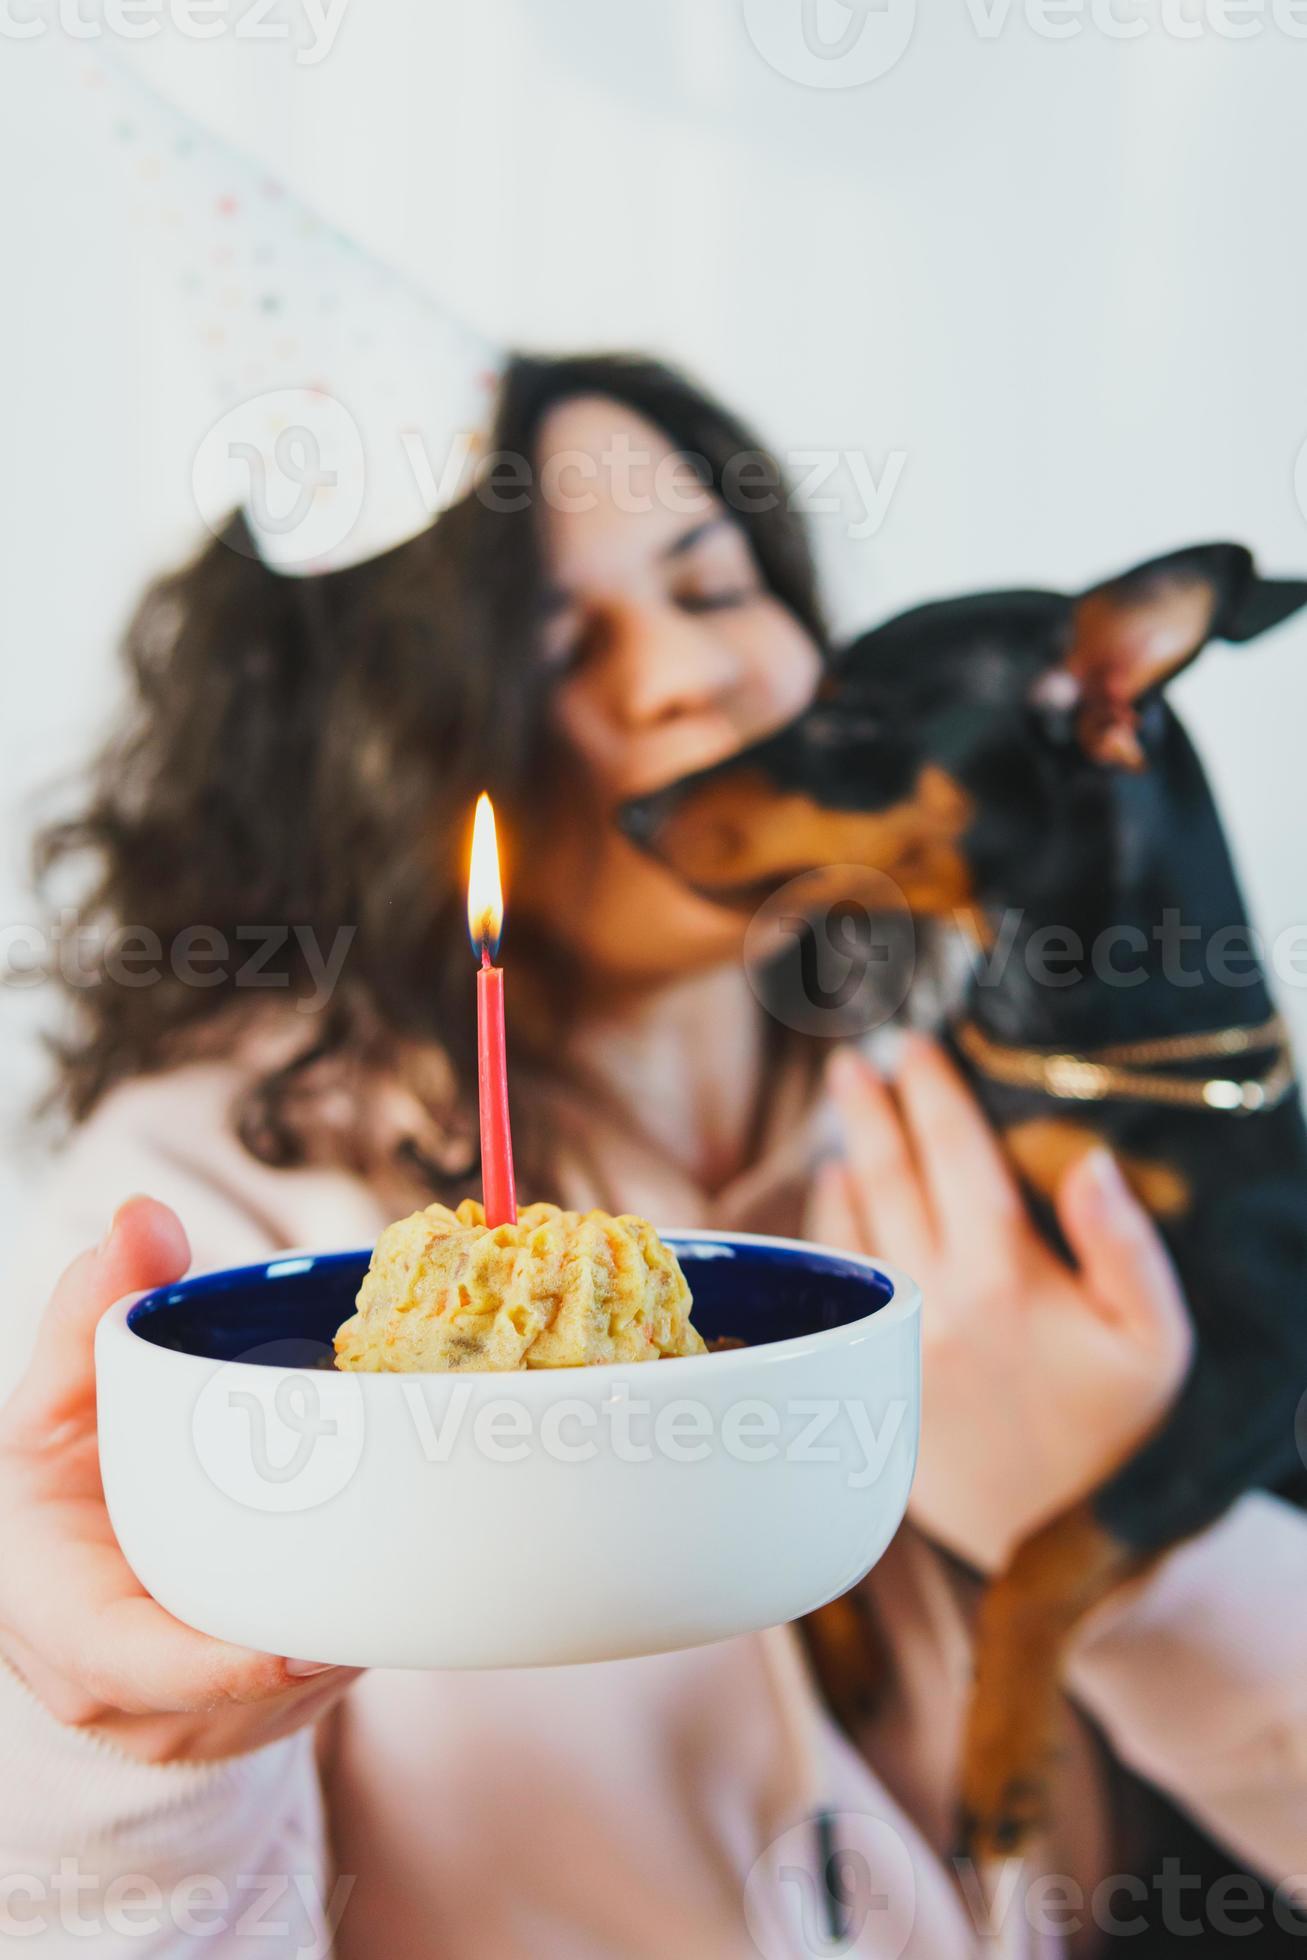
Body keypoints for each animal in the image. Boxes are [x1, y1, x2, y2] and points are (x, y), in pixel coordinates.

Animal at [623, 544, 1307, 1873]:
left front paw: (999, 1761)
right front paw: (836, 1644)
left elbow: (1049, 1547)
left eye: (842, 719)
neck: (1066, 1056)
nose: (630, 811)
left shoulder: (1259, 1369)